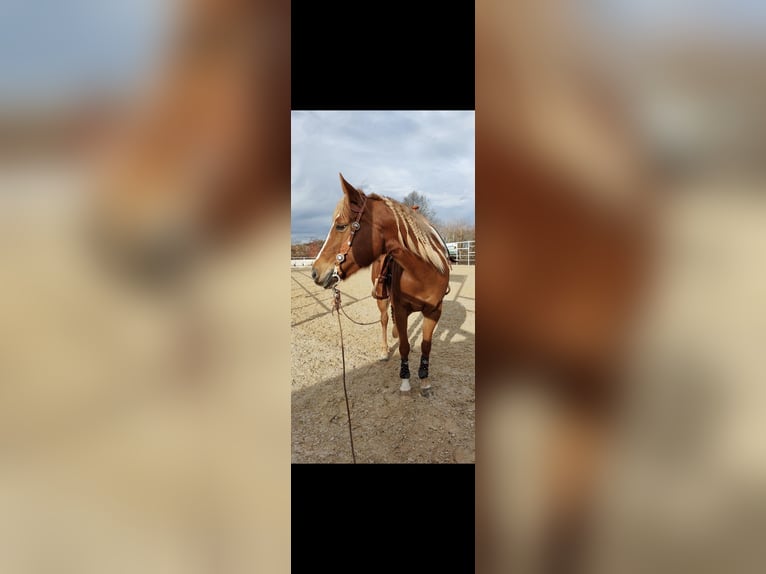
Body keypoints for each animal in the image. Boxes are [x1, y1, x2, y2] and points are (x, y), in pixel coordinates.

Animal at [314, 173, 452, 394]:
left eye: (341, 226)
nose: (315, 271)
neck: (423, 273)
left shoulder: (434, 311)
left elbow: (426, 345)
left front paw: (424, 380)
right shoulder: (402, 309)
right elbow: (404, 345)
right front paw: (405, 379)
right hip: (382, 299)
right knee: (385, 320)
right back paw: (385, 350)